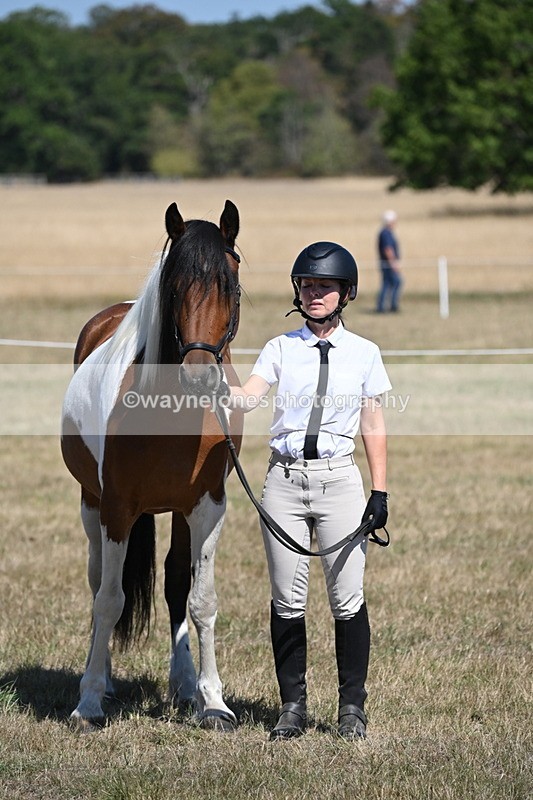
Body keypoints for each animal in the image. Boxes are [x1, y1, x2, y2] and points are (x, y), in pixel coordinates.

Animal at [61, 200, 243, 731]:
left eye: (230, 286)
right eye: (175, 286)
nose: (200, 376)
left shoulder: (207, 507)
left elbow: (200, 600)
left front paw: (213, 701)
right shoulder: (116, 508)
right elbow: (109, 599)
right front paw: (88, 702)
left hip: (178, 514)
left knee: (176, 585)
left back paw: (183, 685)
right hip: (91, 504)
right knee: (99, 582)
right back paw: (100, 678)